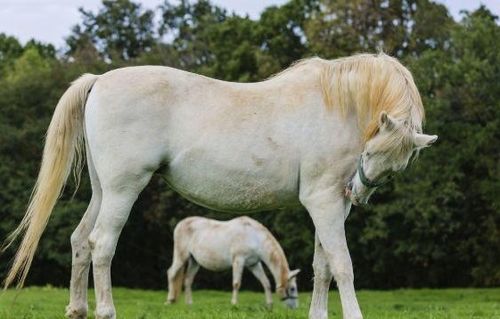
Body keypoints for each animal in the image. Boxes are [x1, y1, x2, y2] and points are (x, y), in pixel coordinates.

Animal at [167, 216, 300, 308]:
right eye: (293, 288)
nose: (295, 307)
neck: (254, 237)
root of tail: (180, 224)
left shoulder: (254, 264)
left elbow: (265, 282)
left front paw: (269, 305)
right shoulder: (238, 260)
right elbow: (236, 283)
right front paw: (234, 304)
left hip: (194, 261)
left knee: (188, 280)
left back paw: (189, 304)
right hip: (181, 256)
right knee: (171, 273)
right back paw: (170, 300)